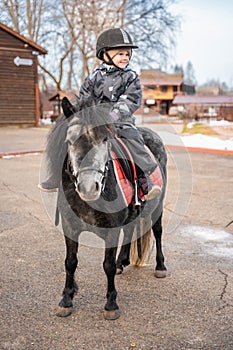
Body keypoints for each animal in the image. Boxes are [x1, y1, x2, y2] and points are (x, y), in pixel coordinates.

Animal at [50, 98, 167, 320]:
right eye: (70, 140)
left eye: (104, 139)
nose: (88, 187)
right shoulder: (70, 228)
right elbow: (70, 262)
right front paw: (66, 299)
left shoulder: (110, 231)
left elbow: (108, 265)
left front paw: (111, 304)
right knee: (129, 231)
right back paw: (123, 261)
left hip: (158, 206)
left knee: (157, 231)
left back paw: (160, 266)